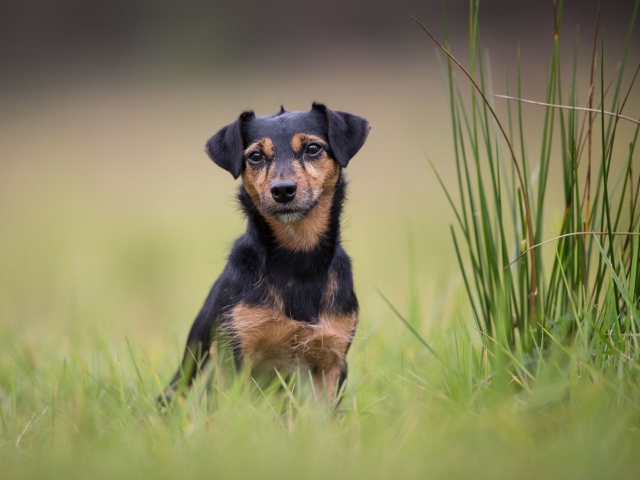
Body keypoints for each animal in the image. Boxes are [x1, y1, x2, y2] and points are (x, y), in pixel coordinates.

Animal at [160, 102, 370, 404]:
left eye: (313, 148)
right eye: (256, 156)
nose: (282, 190)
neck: (297, 259)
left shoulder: (331, 359)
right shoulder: (233, 352)